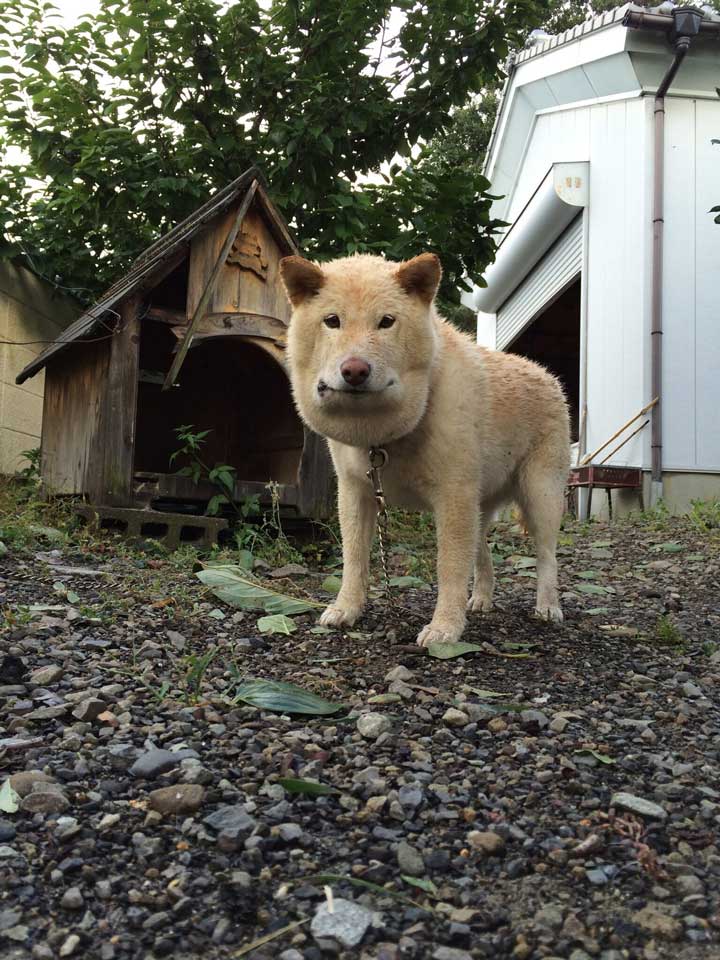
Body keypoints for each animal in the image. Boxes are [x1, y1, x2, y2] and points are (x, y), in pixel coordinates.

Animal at [280, 251, 568, 648]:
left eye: (386, 322)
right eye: (332, 321)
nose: (354, 370)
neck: (384, 437)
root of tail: (549, 377)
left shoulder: (453, 497)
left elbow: (450, 567)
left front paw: (445, 628)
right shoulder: (355, 492)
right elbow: (354, 559)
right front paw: (346, 609)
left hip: (540, 496)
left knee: (546, 557)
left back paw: (547, 607)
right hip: (480, 505)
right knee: (483, 555)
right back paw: (481, 599)